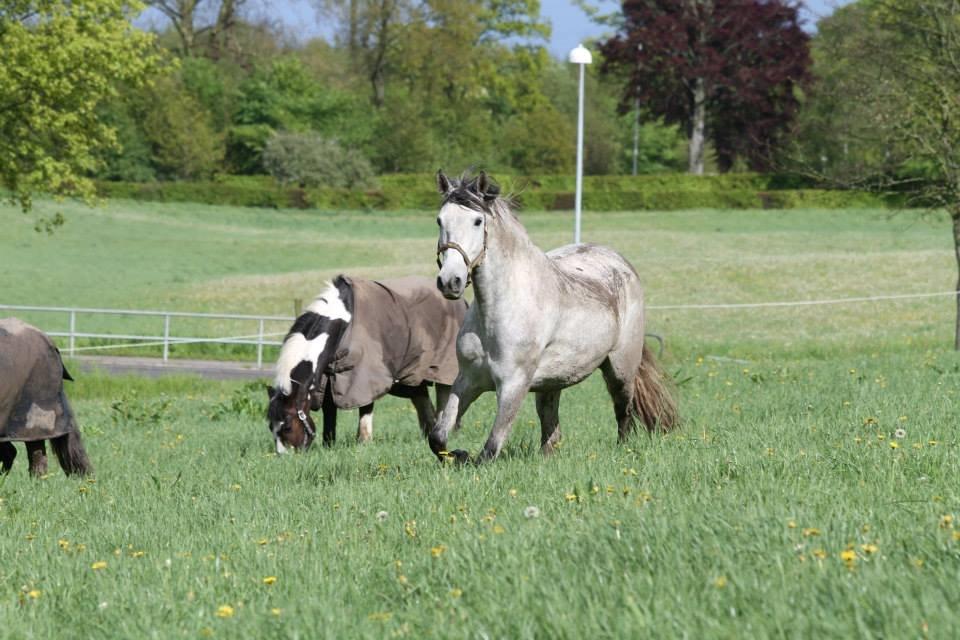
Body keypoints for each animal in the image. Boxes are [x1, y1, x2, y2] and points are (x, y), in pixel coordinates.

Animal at [268, 274, 466, 450]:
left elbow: (365, 408)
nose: (286, 456)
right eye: (271, 427)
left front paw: (364, 441)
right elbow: (329, 411)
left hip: (442, 366)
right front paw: (328, 445)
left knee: (445, 395)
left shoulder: (363, 375)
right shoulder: (331, 376)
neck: (344, 320)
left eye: (287, 426)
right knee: (422, 399)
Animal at [428, 172, 676, 462]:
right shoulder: (467, 380)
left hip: (621, 369)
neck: (498, 313)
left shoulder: (513, 385)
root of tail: (620, 262)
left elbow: (490, 449)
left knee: (623, 413)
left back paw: (622, 450)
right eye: (439, 220)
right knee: (551, 431)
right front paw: (458, 453)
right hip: (551, 382)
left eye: (477, 221)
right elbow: (438, 437)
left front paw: (464, 455)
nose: (450, 281)